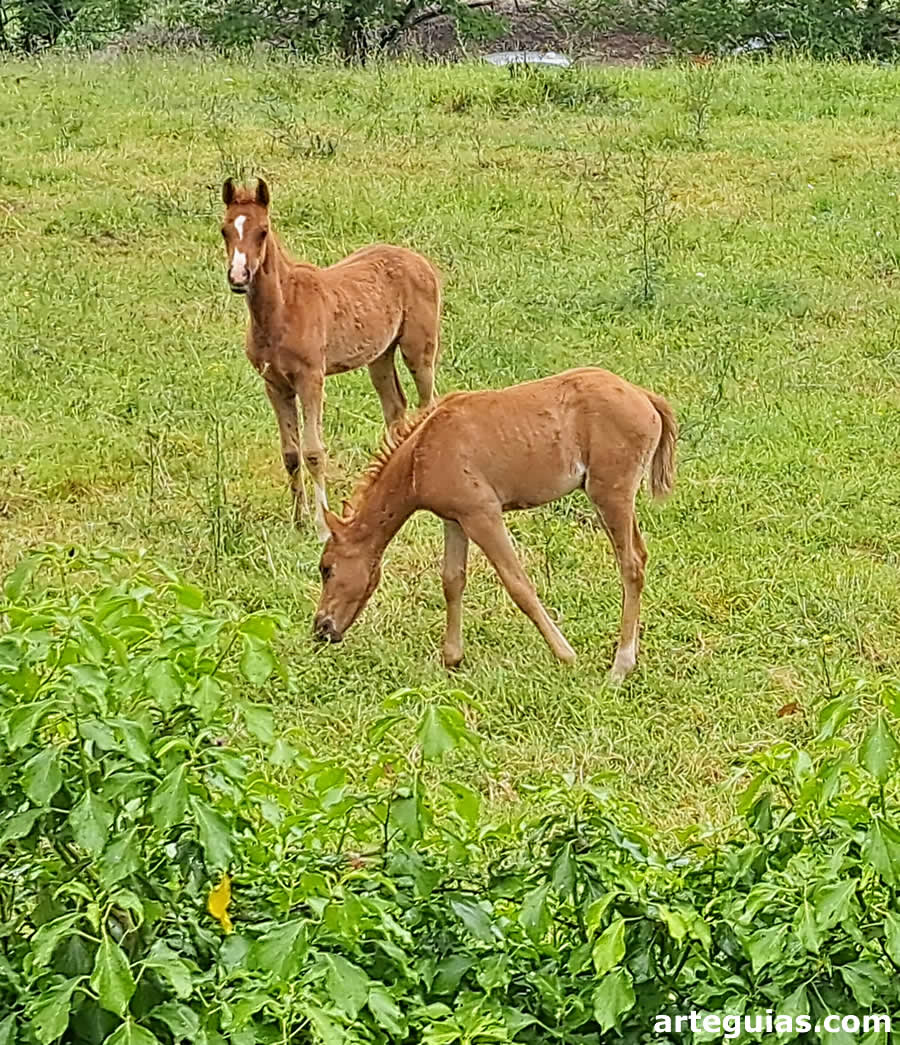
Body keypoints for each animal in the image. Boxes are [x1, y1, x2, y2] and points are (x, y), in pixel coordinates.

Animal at [220, 177, 442, 540]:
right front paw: (297, 521)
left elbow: (313, 452)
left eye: (263, 231)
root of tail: (420, 261)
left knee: (428, 404)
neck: (283, 308)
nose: (239, 277)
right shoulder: (275, 384)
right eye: (225, 229)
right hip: (380, 356)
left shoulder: (311, 379)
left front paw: (322, 526)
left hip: (418, 349)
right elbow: (291, 454)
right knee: (395, 408)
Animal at [312, 367, 677, 682]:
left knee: (631, 564)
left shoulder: (483, 515)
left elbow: (518, 584)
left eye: (326, 568)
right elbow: (452, 580)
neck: (422, 451)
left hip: (611, 495)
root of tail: (646, 398)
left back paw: (621, 665)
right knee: (638, 558)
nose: (321, 628)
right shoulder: (455, 519)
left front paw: (566, 655)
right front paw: (452, 657)